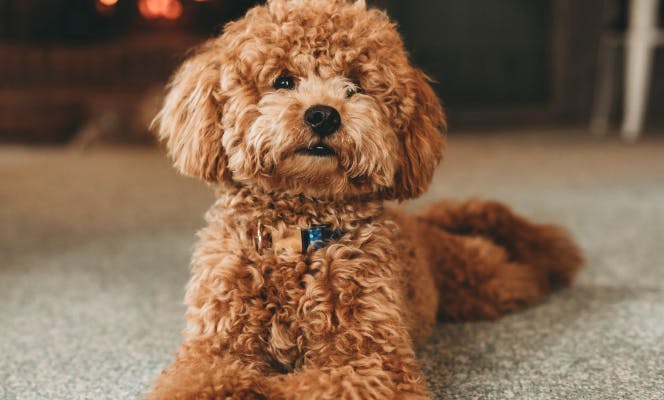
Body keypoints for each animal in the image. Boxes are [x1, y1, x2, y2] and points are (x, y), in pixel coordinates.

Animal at [148, 1, 584, 398]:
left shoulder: (373, 362)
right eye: (283, 81)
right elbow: (205, 380)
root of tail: (422, 222)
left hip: (477, 280)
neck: (298, 233)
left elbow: (302, 387)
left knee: (512, 271)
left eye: (354, 85)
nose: (323, 115)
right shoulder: (213, 350)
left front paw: (258, 388)